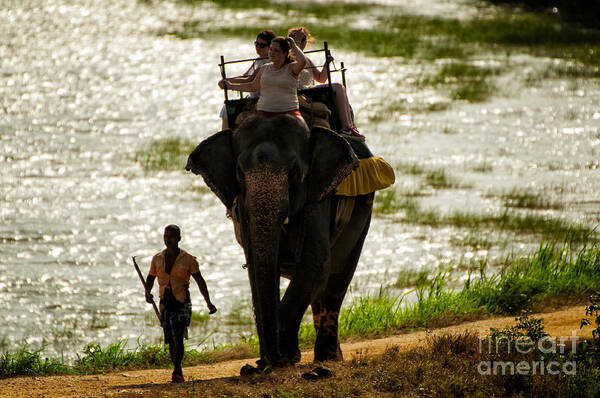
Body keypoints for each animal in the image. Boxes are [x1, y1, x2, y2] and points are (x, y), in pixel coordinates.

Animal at [185, 115, 372, 370]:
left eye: (294, 172)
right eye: (239, 173)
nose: (264, 362)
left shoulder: (319, 194)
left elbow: (315, 263)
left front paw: (285, 358)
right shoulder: (241, 207)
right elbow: (256, 269)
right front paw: (266, 362)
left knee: (336, 280)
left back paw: (327, 359)